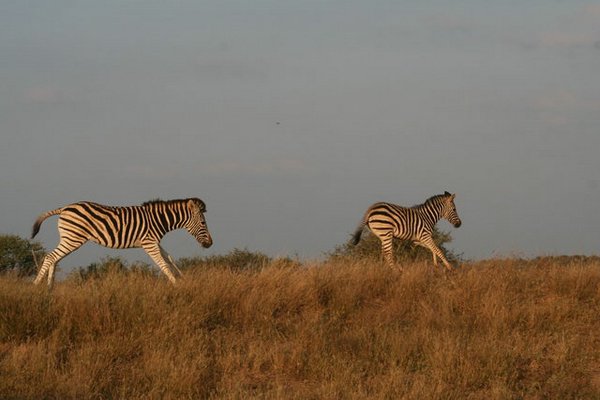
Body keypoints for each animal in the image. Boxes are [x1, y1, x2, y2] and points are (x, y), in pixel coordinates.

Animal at [31, 198, 213, 286]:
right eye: (203, 223)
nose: (210, 244)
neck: (159, 220)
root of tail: (64, 208)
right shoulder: (149, 243)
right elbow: (163, 264)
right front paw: (176, 285)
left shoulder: (155, 242)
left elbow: (169, 258)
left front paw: (183, 278)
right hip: (73, 238)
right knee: (50, 257)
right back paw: (37, 286)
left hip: (69, 238)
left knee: (54, 259)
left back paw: (50, 288)